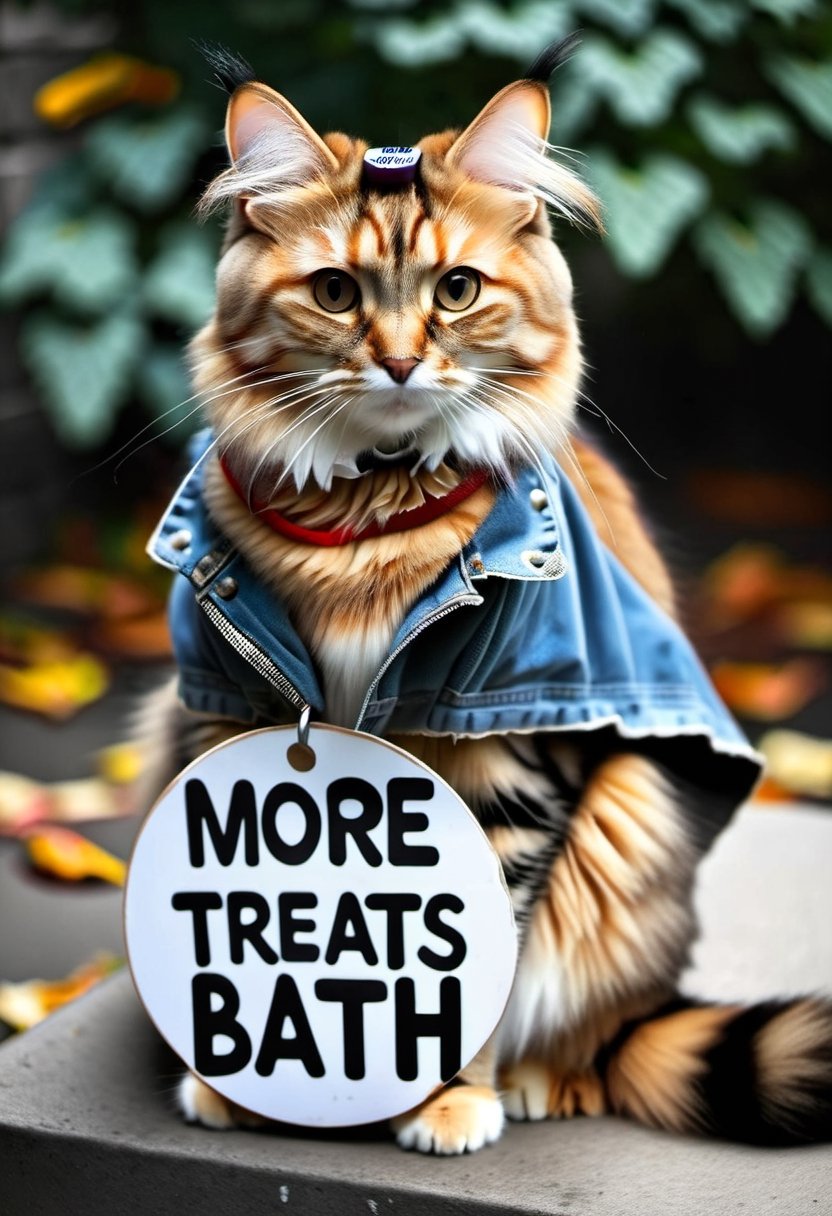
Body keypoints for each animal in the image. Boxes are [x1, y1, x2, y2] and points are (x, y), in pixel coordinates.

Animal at [138, 42, 832, 1152]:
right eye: (335, 292)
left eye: (457, 290)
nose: (398, 361)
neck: (369, 515)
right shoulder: (224, 711)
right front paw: (239, 1080)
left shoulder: (509, 761)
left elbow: (480, 965)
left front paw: (450, 1098)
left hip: (627, 818)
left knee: (589, 1028)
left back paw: (540, 1081)